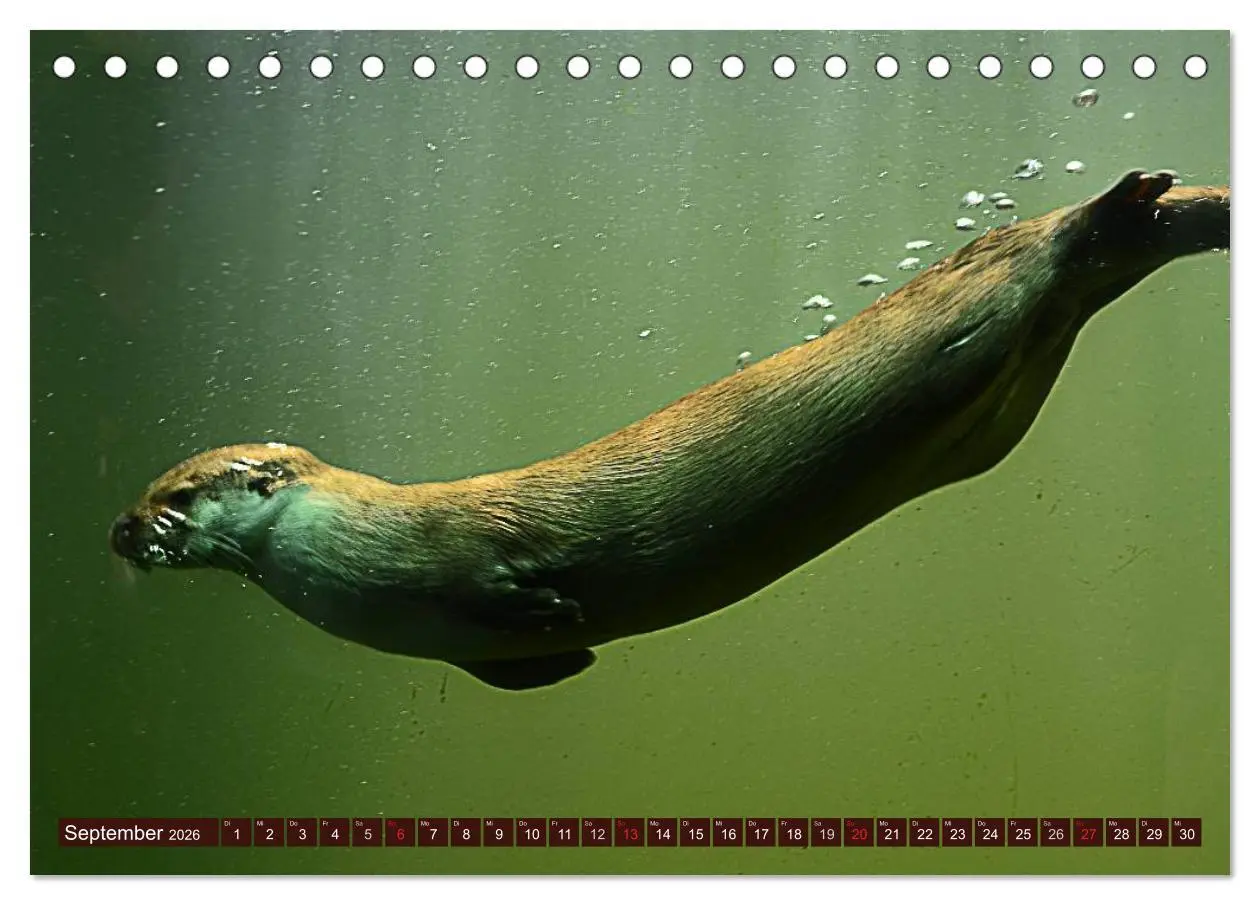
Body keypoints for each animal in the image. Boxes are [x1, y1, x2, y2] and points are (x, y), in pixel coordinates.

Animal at [110, 170, 1229, 691]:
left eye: (176, 493)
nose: (119, 528)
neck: (352, 550)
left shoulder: (458, 548)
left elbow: (507, 578)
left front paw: (551, 603)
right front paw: (562, 653)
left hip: (974, 306)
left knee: (1044, 248)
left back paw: (1116, 207)